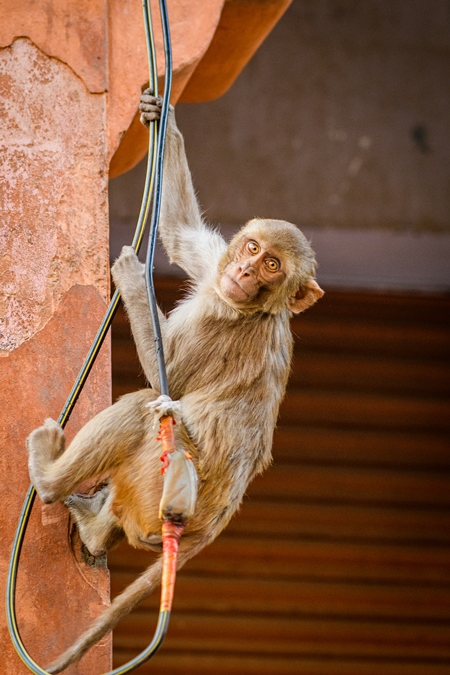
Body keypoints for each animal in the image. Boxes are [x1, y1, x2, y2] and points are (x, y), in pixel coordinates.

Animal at [26, 92, 324, 672]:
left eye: (273, 266)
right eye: (252, 250)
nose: (246, 274)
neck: (247, 306)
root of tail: (212, 522)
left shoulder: (220, 327)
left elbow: (169, 376)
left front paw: (134, 278)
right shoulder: (215, 275)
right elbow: (184, 236)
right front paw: (158, 114)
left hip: (158, 480)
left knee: (145, 407)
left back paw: (49, 478)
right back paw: (93, 525)